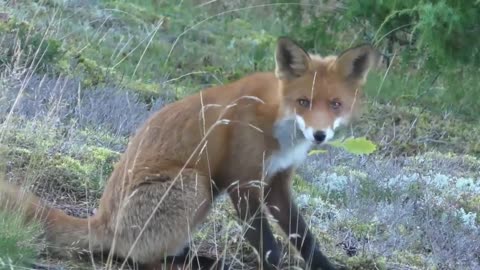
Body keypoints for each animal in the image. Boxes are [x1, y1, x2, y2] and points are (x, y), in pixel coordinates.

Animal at [0, 37, 378, 268]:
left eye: (335, 104)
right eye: (304, 102)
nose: (319, 135)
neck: (277, 120)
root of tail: (103, 220)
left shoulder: (277, 182)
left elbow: (306, 239)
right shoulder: (242, 180)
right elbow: (269, 246)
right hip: (195, 185)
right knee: (134, 256)